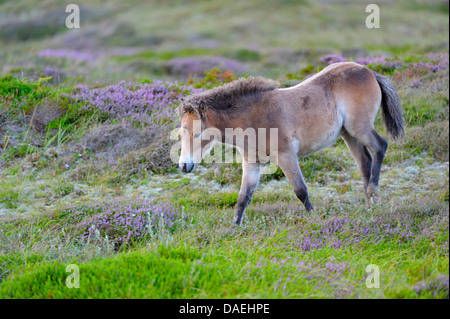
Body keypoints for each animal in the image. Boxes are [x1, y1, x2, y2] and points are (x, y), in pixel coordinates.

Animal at [177, 62, 404, 226]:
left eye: (198, 134)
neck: (253, 118)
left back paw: (373, 193)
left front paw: (314, 218)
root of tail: (370, 72)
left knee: (380, 147)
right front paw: (235, 227)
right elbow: (243, 197)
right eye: (180, 133)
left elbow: (301, 190)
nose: (184, 166)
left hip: (359, 127)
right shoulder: (252, 163)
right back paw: (369, 203)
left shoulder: (286, 156)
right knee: (364, 161)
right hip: (348, 134)